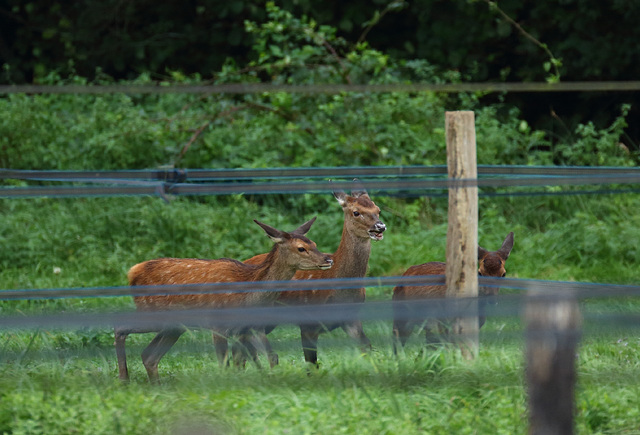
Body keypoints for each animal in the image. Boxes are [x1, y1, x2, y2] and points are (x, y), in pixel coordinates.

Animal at [115, 216, 332, 384]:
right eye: (301, 248)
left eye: (314, 244)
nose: (327, 259)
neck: (248, 296)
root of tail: (133, 272)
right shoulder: (217, 325)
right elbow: (224, 364)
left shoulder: (251, 327)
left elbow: (272, 356)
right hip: (151, 311)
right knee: (120, 328)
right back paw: (124, 379)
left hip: (174, 326)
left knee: (149, 356)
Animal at [244, 181, 384, 368]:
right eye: (356, 212)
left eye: (378, 209)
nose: (380, 227)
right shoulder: (308, 322)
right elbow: (311, 363)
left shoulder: (351, 318)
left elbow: (367, 347)